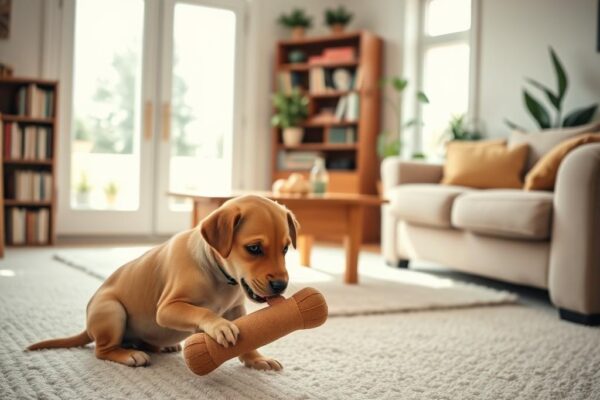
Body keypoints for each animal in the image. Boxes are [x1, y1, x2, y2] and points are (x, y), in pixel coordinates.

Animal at [28, 195, 300, 370]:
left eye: (286, 249)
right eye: (253, 248)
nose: (281, 286)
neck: (218, 274)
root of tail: (88, 326)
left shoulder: (235, 309)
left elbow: (250, 337)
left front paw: (256, 359)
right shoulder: (168, 308)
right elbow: (201, 311)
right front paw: (218, 326)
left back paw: (161, 347)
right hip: (112, 311)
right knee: (102, 350)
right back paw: (130, 355)